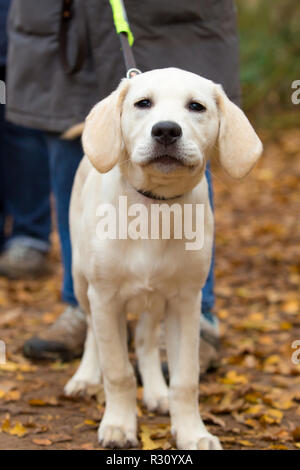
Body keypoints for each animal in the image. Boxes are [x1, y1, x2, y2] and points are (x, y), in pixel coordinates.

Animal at [64, 68, 262, 450]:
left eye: (196, 106)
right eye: (143, 103)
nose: (167, 130)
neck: (155, 206)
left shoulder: (186, 301)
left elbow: (186, 380)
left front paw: (192, 433)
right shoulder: (105, 297)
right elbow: (118, 372)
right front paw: (118, 425)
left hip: (155, 299)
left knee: (144, 341)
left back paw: (157, 392)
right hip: (82, 281)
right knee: (93, 333)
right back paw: (85, 378)